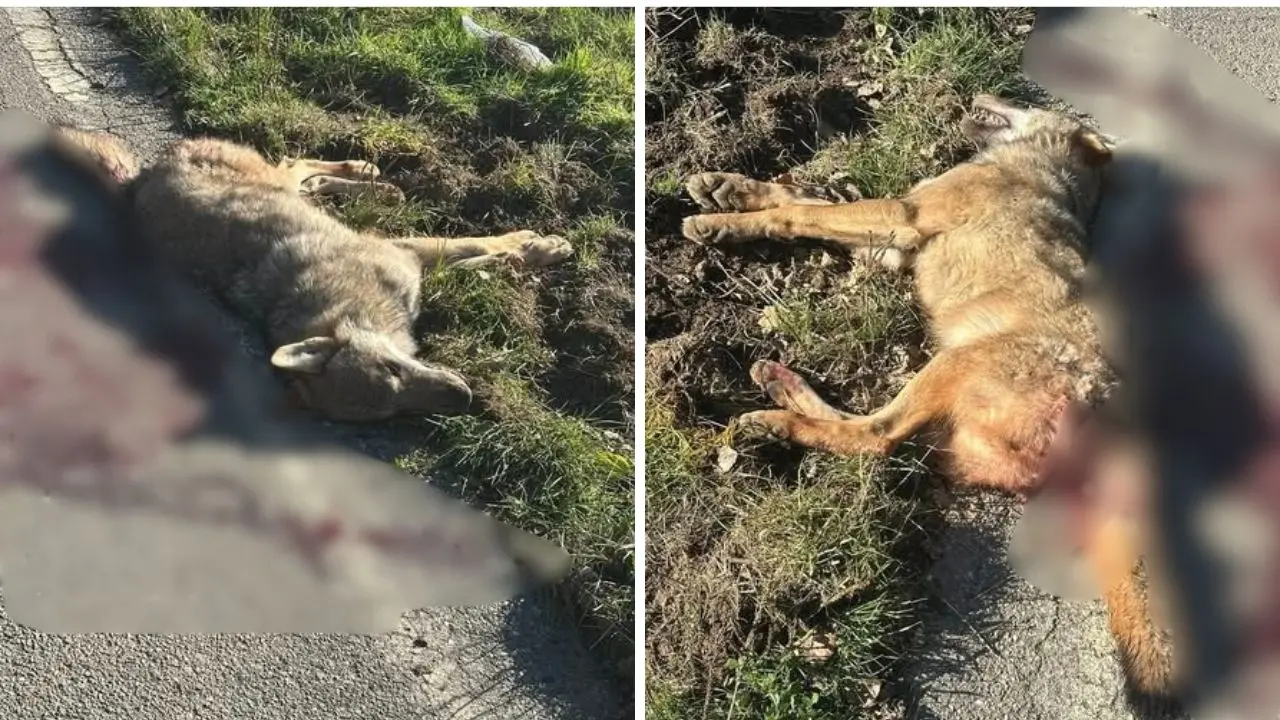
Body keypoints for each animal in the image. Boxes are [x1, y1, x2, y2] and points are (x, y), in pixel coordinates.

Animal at [111, 136, 573, 422]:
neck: (349, 306)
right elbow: (476, 257)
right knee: (307, 175)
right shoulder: (412, 262)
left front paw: (541, 247)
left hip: (278, 180)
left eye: (394, 368)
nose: (464, 398)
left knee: (299, 165)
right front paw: (521, 256)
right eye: (393, 412)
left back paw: (366, 172)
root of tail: (144, 175)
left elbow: (476, 244)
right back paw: (374, 184)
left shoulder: (406, 253)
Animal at [680, 95, 1175, 702]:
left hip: (950, 364)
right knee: (885, 441)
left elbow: (795, 215)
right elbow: (801, 196)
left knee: (875, 438)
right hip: (954, 430)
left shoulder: (903, 214)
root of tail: (1109, 415)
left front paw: (719, 224)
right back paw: (781, 389)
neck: (1036, 167)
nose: (981, 96)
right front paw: (725, 188)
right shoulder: (892, 238)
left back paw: (776, 412)